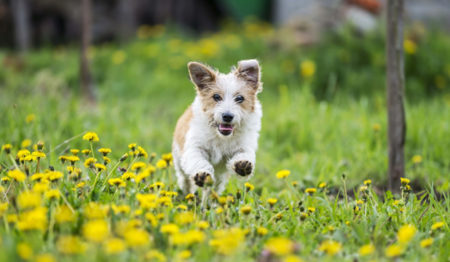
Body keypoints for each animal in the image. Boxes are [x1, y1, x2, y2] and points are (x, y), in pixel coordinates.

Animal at [172, 59, 264, 194]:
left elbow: (245, 153)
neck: (221, 137)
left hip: (219, 178)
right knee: (185, 180)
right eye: (216, 96)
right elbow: (198, 160)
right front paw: (202, 174)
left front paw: (242, 165)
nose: (227, 116)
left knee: (213, 189)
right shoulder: (195, 147)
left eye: (240, 98)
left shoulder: (244, 145)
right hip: (179, 161)